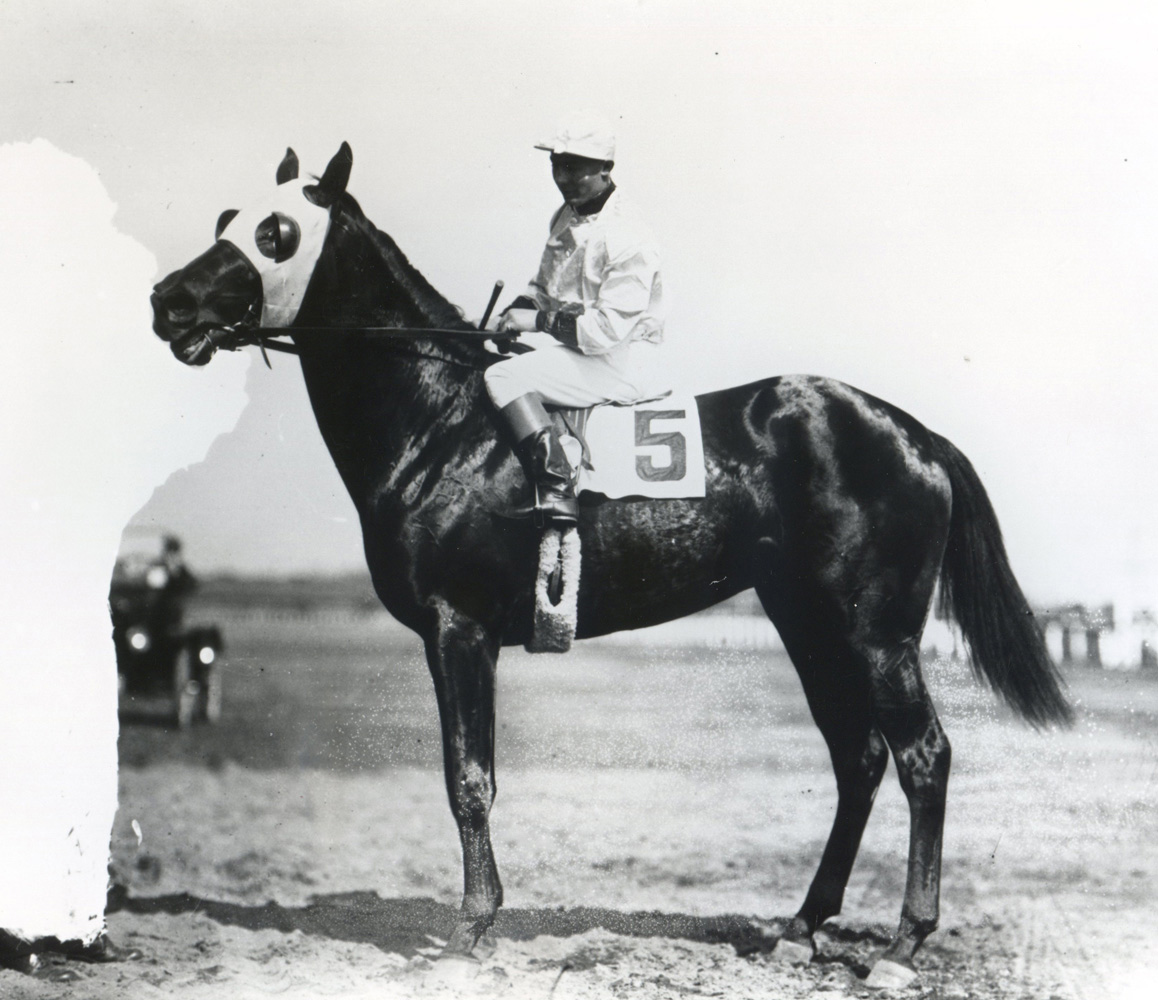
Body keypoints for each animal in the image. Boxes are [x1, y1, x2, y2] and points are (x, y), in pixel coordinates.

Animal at [149, 144, 1069, 986]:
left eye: (274, 232)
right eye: (228, 218)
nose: (168, 301)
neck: (442, 423)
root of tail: (915, 434)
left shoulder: (458, 627)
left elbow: (467, 778)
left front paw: (472, 927)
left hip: (878, 632)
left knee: (922, 755)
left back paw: (903, 945)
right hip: (809, 623)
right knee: (860, 759)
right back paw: (802, 926)